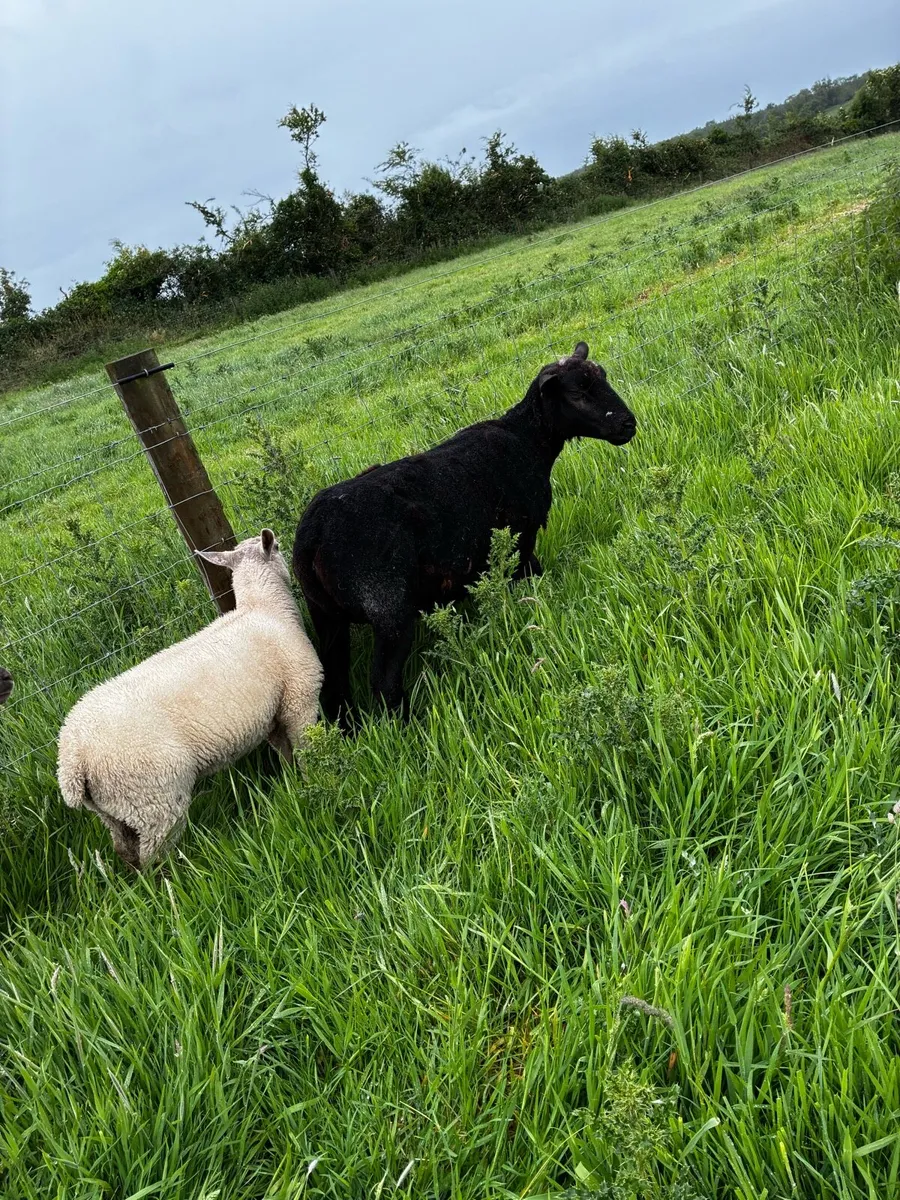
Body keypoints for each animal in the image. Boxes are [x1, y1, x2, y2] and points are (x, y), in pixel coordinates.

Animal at [57, 529, 323, 869]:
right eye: (276, 547)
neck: (264, 607)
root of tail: (72, 759)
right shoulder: (299, 700)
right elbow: (305, 750)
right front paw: (312, 780)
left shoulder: (273, 715)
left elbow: (285, 753)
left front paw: (291, 782)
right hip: (155, 800)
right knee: (154, 856)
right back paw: (177, 877)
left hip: (114, 810)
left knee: (124, 850)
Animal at [292, 340, 636, 727]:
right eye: (578, 392)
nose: (629, 424)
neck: (529, 440)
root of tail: (313, 534)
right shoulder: (522, 537)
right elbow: (532, 575)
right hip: (388, 605)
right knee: (384, 684)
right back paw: (410, 728)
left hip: (326, 615)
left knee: (335, 684)